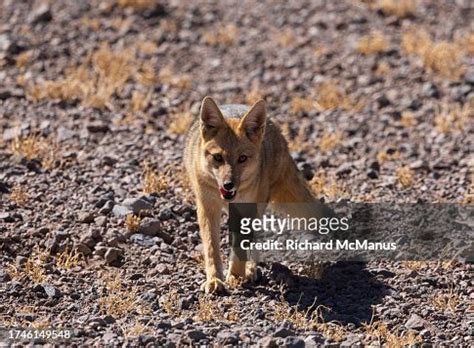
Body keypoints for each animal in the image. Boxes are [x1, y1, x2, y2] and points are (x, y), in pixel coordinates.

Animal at [183, 96, 332, 294]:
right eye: (218, 158)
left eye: (242, 158)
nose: (228, 185)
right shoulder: (207, 207)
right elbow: (211, 248)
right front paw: (215, 280)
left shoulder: (245, 209)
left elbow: (240, 245)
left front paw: (236, 276)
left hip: (258, 206)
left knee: (254, 239)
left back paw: (250, 269)